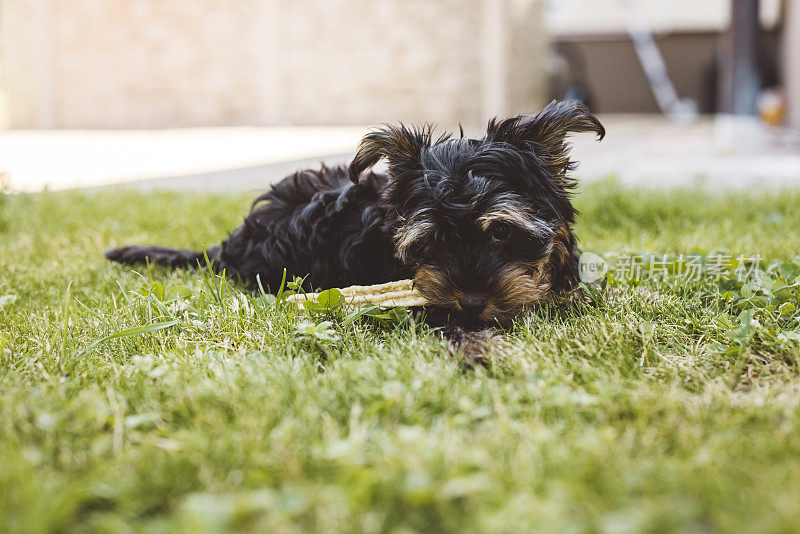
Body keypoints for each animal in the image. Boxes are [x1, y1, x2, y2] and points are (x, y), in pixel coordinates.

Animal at [108, 100, 608, 358]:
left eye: (501, 232)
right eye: (434, 239)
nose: (470, 302)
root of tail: (231, 244)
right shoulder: (422, 301)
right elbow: (445, 322)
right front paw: (478, 347)